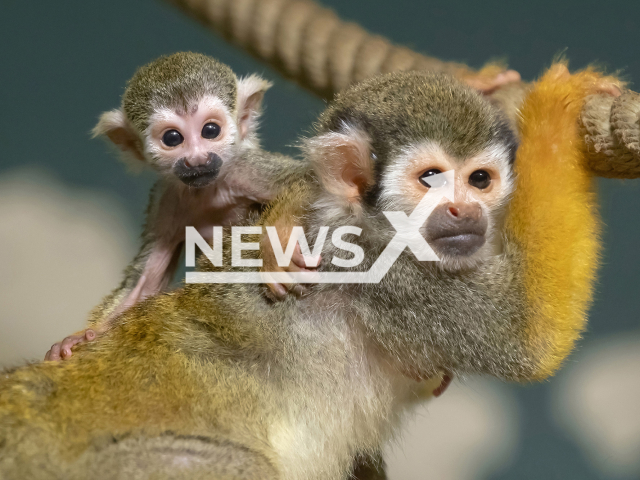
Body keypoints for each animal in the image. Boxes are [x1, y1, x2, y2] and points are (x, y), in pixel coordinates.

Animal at [44, 52, 316, 360]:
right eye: (172, 138)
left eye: (210, 130)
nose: (197, 160)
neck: (206, 191)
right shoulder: (165, 198)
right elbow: (146, 282)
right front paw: (80, 337)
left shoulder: (242, 168)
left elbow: (311, 178)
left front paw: (277, 249)